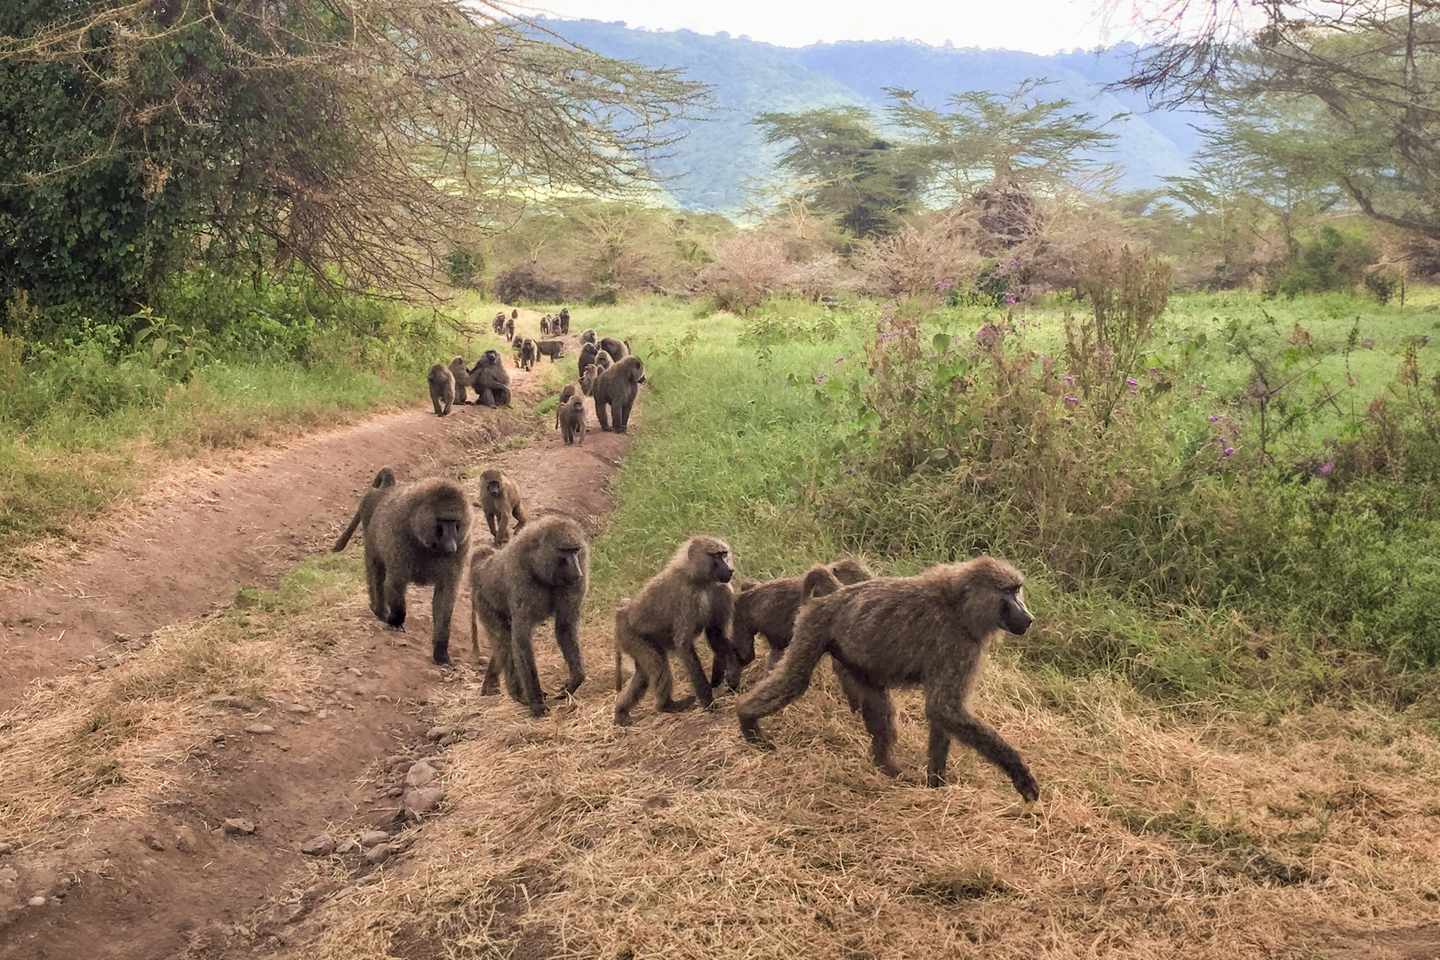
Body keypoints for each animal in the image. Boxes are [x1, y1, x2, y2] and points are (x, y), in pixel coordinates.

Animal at [333, 473, 472, 665]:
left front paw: (441, 652)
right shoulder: (400, 538)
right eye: (442, 522)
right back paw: (379, 610)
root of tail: (384, 490)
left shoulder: (462, 546)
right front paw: (394, 619)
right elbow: (395, 587)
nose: (451, 546)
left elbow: (445, 597)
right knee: (377, 572)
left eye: (455, 522)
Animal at [470, 515, 589, 717]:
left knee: (503, 644)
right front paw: (536, 702)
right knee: (505, 641)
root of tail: (482, 568)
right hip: (484, 600)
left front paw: (574, 681)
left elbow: (565, 626)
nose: (577, 572)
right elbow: (522, 639)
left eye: (575, 550)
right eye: (564, 551)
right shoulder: (520, 576)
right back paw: (518, 693)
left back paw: (491, 684)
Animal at [612, 535, 737, 725]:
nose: (730, 569)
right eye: (716, 556)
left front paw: (729, 677)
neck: (700, 580)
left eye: (724, 554)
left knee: (643, 675)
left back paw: (621, 712)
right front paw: (708, 701)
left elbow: (716, 636)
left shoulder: (722, 589)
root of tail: (623, 612)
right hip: (630, 636)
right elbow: (684, 645)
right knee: (657, 664)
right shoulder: (687, 599)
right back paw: (666, 706)